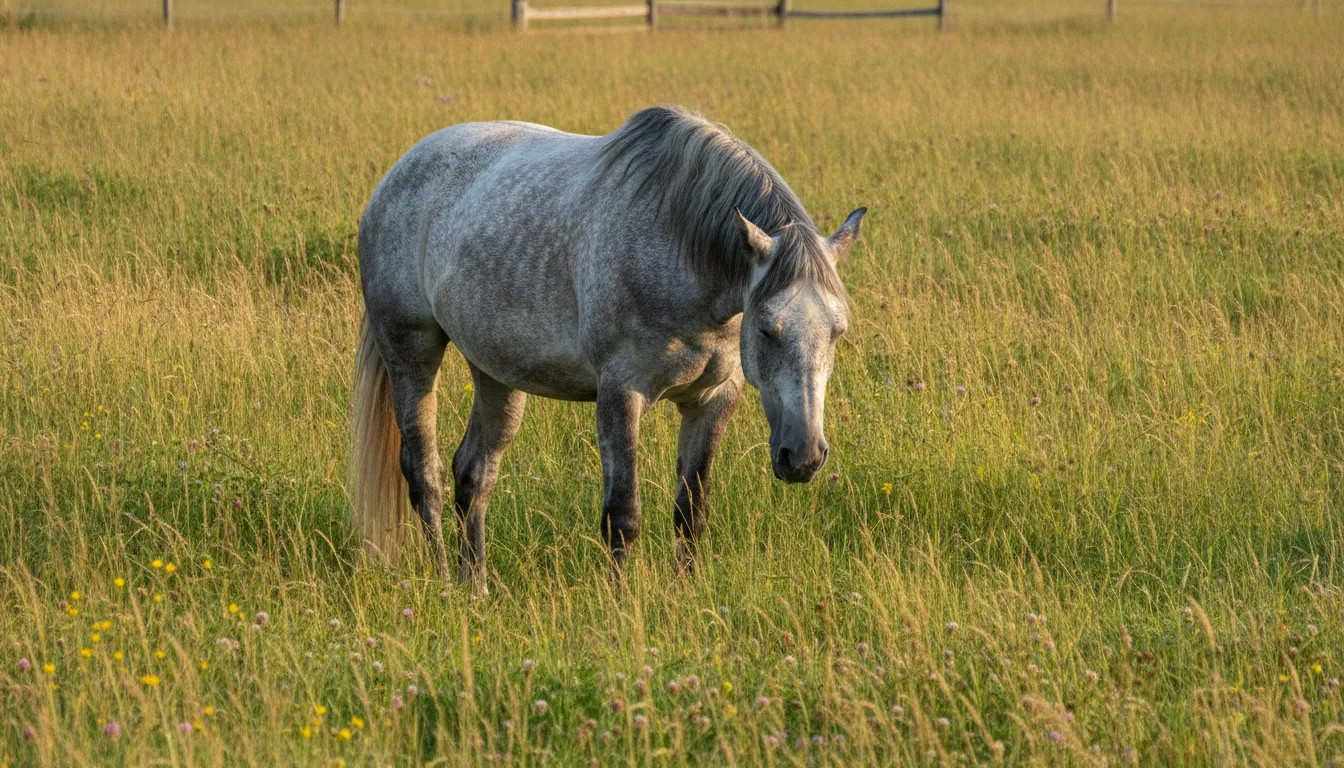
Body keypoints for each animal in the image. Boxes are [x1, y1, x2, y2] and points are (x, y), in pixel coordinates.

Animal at [350, 105, 864, 591]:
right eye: (765, 330)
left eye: (837, 332)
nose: (803, 458)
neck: (680, 249)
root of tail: (398, 174)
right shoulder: (621, 394)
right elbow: (623, 516)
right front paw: (621, 605)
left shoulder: (713, 400)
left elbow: (691, 513)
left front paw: (686, 595)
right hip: (411, 351)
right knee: (425, 475)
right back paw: (443, 582)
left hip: (495, 372)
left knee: (474, 474)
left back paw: (474, 585)